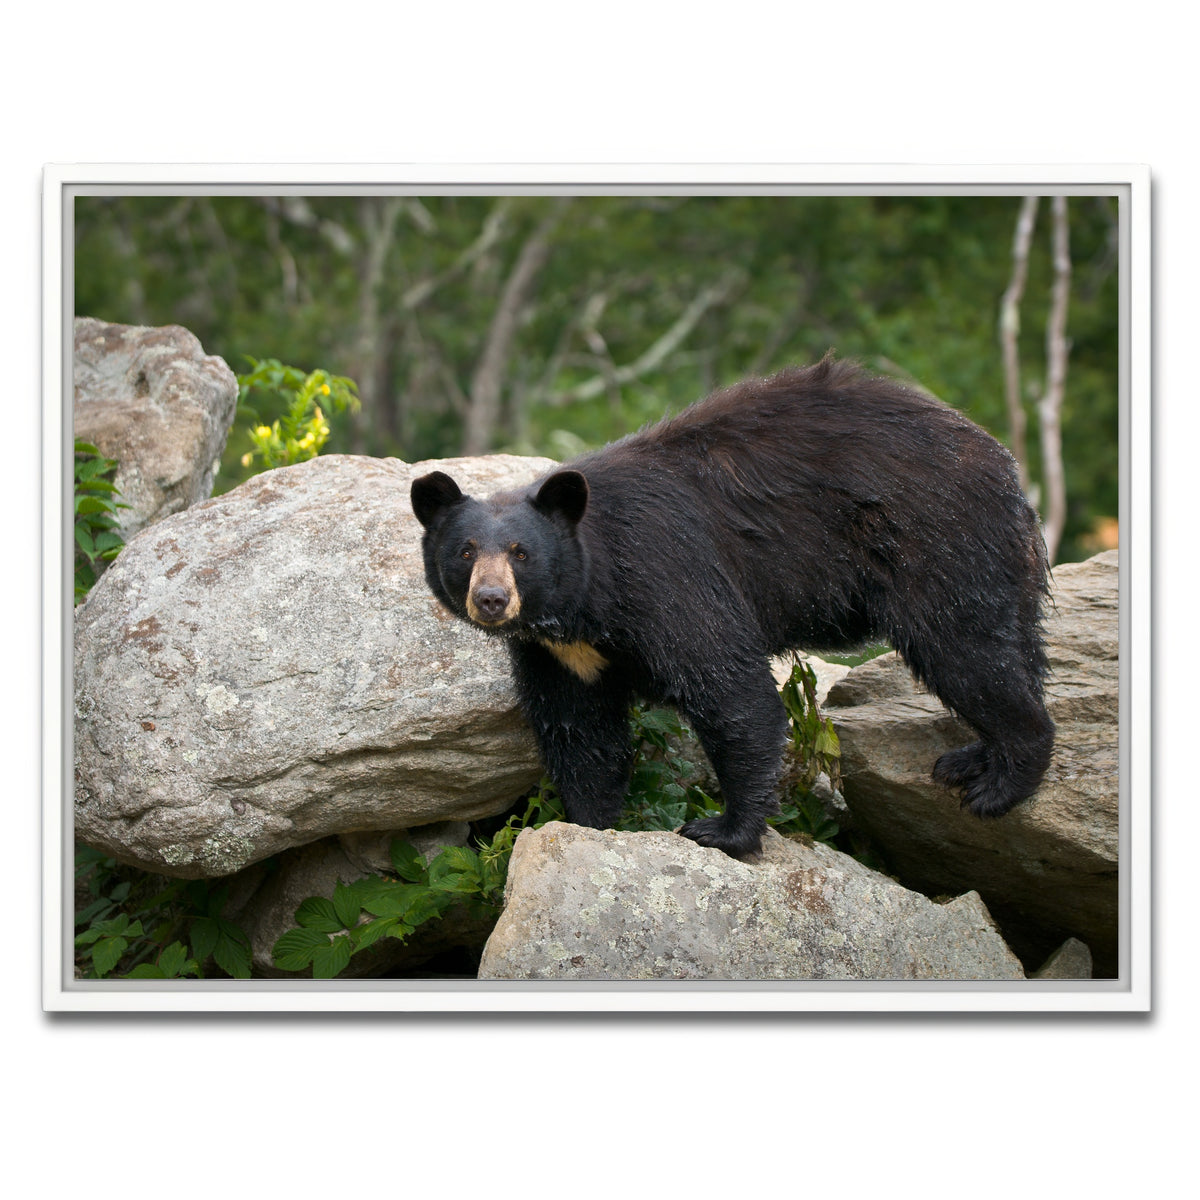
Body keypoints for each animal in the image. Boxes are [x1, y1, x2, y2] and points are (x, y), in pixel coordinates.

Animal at [411, 354, 1055, 858]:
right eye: (465, 551)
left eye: (521, 552)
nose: (491, 599)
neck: (586, 603)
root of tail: (1005, 466)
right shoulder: (559, 654)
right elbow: (580, 732)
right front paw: (588, 823)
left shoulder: (666, 575)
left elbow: (730, 690)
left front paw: (724, 830)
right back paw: (971, 758)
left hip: (937, 543)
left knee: (965, 651)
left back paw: (1000, 782)